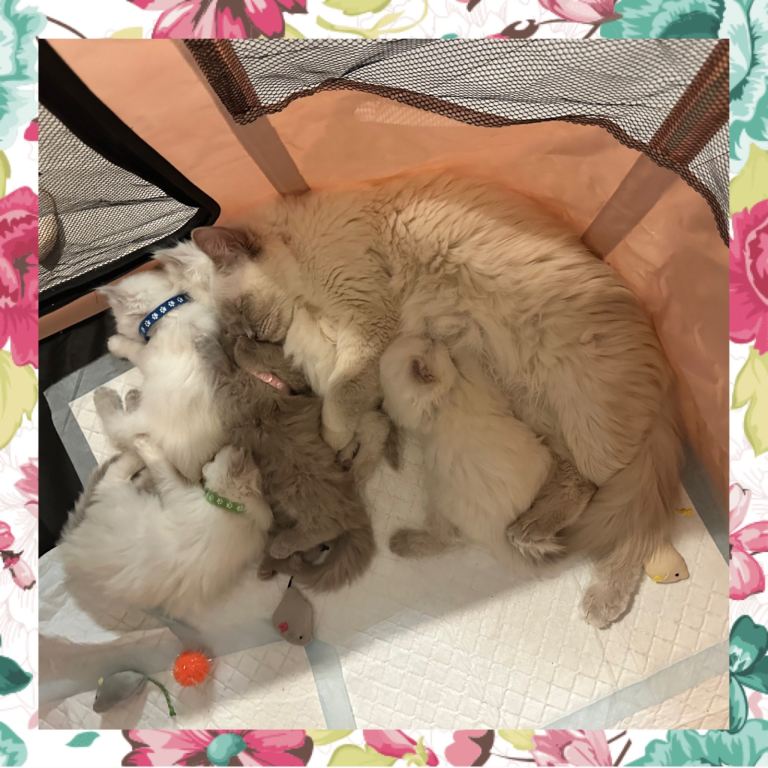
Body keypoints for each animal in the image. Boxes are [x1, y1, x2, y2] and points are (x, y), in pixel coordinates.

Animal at [59, 419, 271, 620]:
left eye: (212, 459)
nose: (203, 467)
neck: (235, 510)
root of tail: (69, 541)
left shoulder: (178, 492)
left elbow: (163, 468)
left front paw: (145, 446)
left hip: (117, 492)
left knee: (116, 473)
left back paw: (137, 453)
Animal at [198, 332, 377, 592]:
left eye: (262, 343)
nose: (242, 336)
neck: (273, 385)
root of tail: (356, 512)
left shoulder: (231, 391)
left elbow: (219, 366)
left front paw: (206, 343)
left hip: (301, 492)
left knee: (324, 529)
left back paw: (280, 548)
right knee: (312, 548)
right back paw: (270, 567)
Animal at [379, 321, 596, 564]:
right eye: (431, 344)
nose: (432, 336)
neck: (434, 410)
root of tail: (495, 534)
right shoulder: (475, 378)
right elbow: (467, 356)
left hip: (439, 501)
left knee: (446, 538)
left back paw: (399, 544)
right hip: (544, 458)